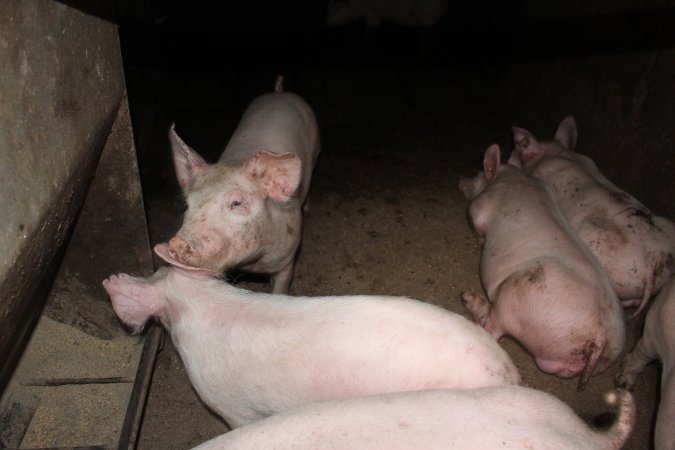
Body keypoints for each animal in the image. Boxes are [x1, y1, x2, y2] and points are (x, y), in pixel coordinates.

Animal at [165, 76, 320, 296]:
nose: (179, 243)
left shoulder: (287, 260)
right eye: (188, 204)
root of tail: (280, 92)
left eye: (236, 203)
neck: (254, 264)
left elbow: (280, 288)